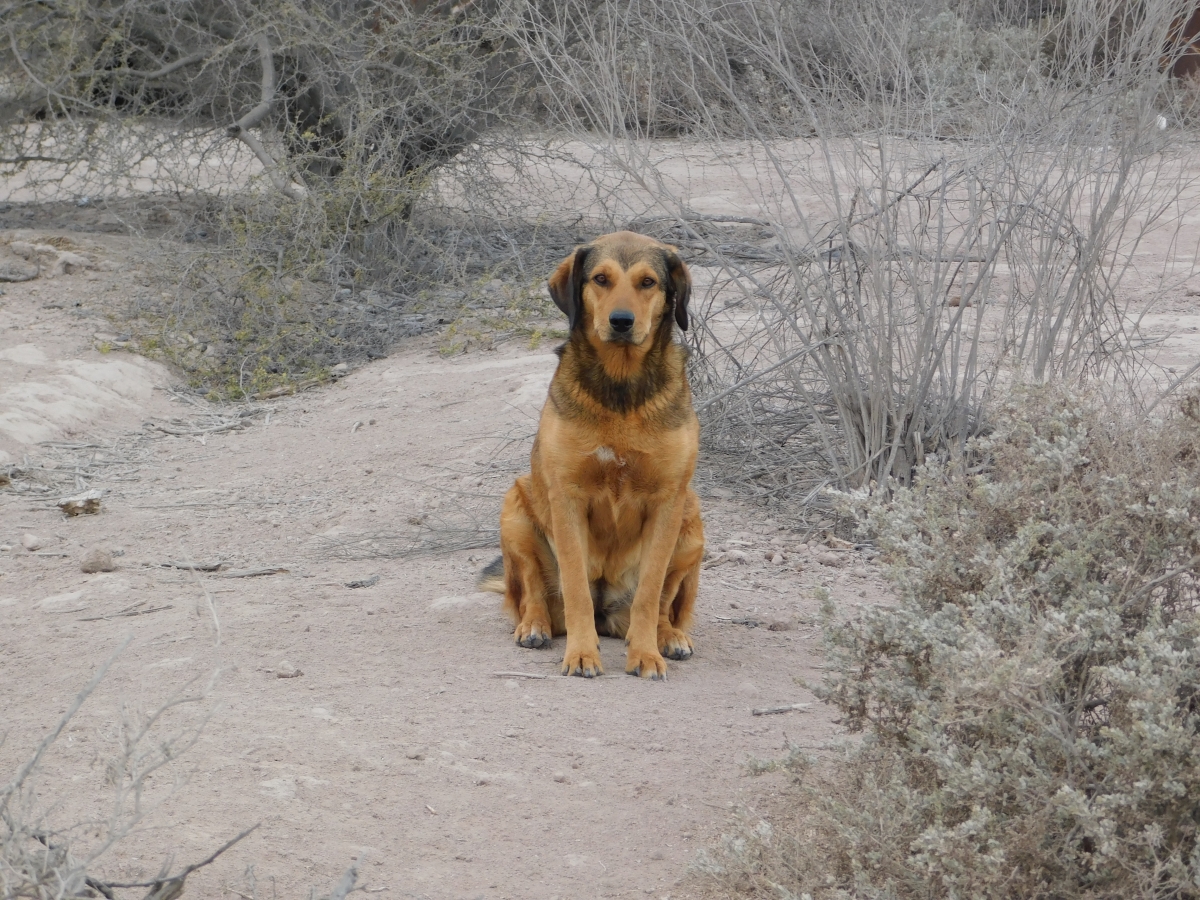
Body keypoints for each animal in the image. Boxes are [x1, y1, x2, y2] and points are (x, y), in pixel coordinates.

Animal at [475, 229, 700, 681]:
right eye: (600, 279)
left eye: (648, 282)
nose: (621, 321)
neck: (621, 387)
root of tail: (606, 610)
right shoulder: (568, 497)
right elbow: (576, 587)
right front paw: (580, 654)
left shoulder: (668, 500)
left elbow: (651, 593)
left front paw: (646, 654)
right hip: (516, 507)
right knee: (533, 593)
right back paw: (535, 627)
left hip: (692, 522)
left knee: (665, 605)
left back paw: (668, 637)